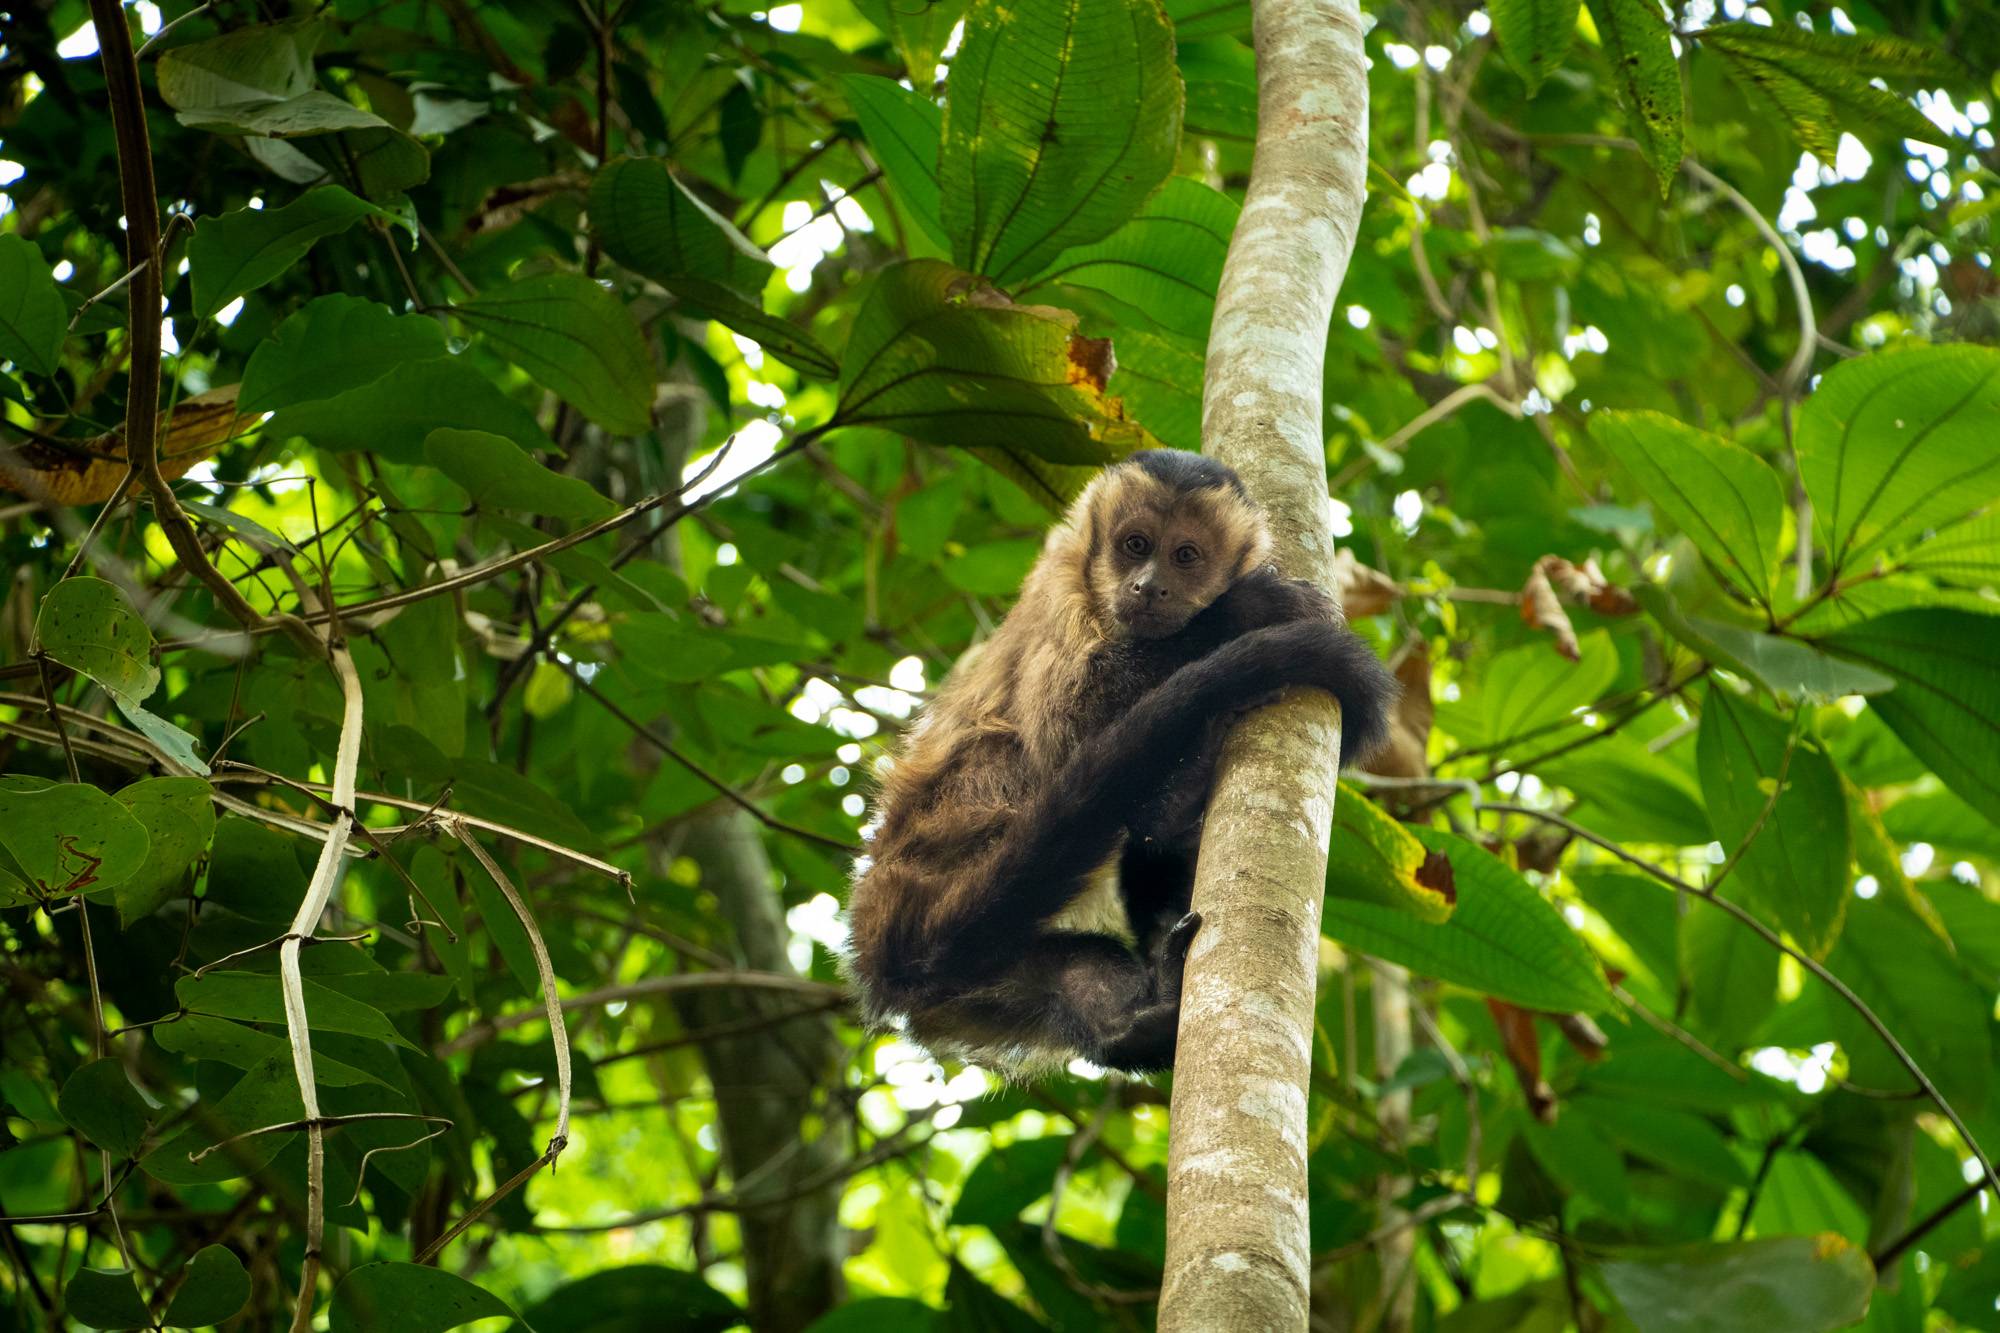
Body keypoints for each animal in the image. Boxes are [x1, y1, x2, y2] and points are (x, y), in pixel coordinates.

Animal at [840, 446, 1392, 1072]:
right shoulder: (1061, 591)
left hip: (979, 988)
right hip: (943, 852)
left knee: (1074, 963)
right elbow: (1067, 722)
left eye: (1185, 556)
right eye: (1135, 544)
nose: (1149, 586)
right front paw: (1244, 609)